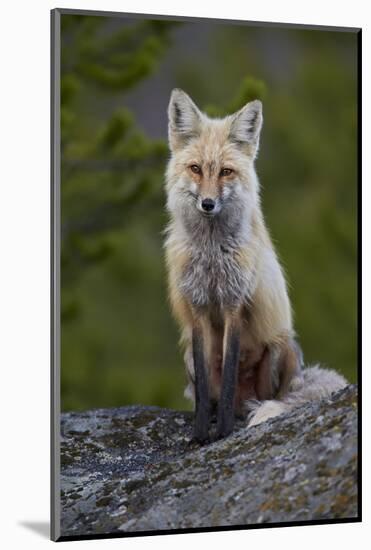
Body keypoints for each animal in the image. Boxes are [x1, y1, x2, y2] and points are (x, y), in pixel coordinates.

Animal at [164, 89, 348, 444]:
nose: (207, 204)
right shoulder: (196, 308)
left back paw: (247, 411)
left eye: (225, 172)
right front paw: (200, 433)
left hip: (279, 345)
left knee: (267, 397)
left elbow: (230, 371)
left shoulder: (235, 303)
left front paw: (222, 433)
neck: (212, 254)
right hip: (188, 355)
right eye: (195, 169)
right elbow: (206, 389)